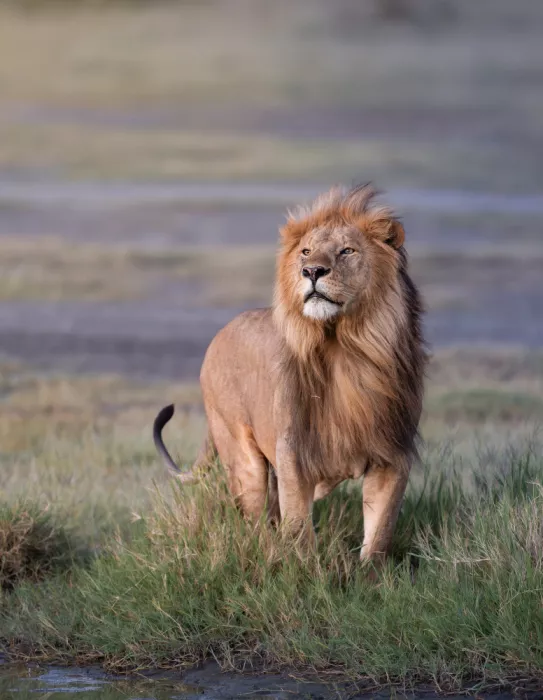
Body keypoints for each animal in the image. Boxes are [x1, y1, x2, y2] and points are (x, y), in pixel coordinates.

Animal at [154, 184, 426, 563]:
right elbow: (299, 531)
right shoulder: (294, 453)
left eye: (347, 250)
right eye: (306, 252)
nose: (312, 271)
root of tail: (222, 331)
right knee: (255, 520)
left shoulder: (392, 455)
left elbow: (379, 534)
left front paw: (370, 575)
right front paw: (306, 572)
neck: (347, 351)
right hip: (243, 457)